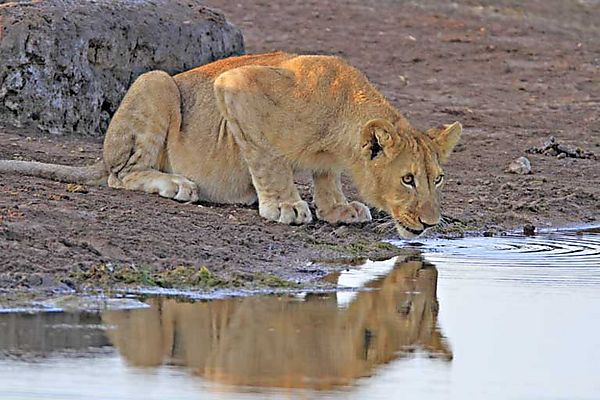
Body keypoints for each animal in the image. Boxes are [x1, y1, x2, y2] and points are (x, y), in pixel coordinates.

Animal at [0, 50, 462, 238]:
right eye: (407, 179)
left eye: (437, 180)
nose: (430, 224)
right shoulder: (238, 87)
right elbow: (268, 158)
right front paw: (286, 206)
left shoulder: (327, 157)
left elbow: (325, 174)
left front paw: (337, 209)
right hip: (156, 82)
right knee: (121, 174)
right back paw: (177, 185)